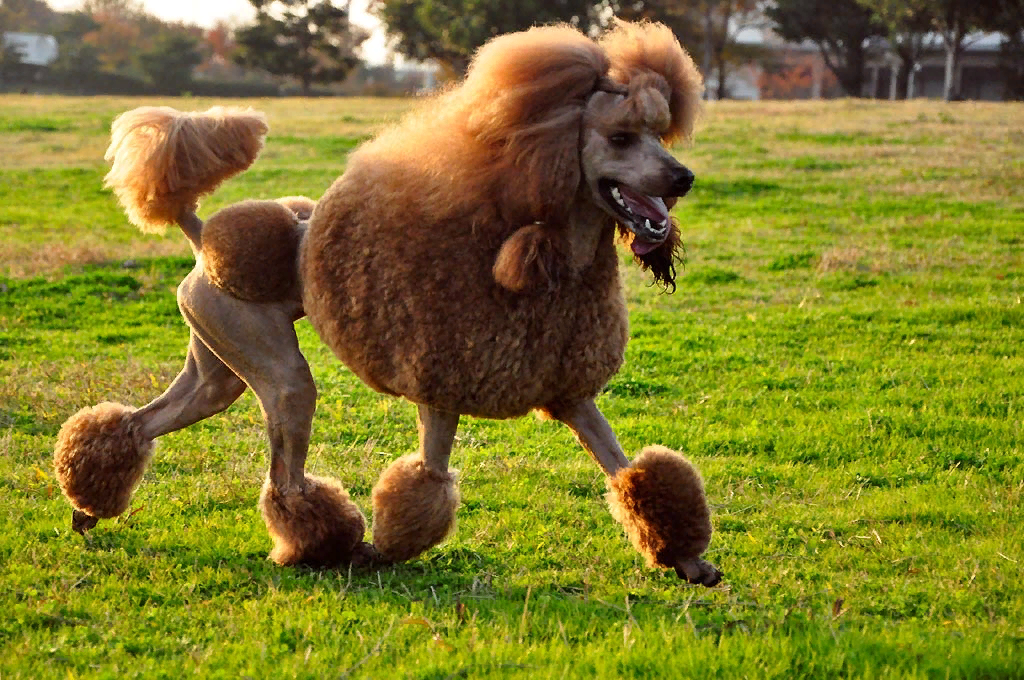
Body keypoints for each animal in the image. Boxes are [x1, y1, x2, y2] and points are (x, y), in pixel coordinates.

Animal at [54, 19, 720, 585]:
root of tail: (200, 235)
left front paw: (687, 560)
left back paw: (89, 505)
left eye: (659, 134)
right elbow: (425, 485)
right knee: (283, 474)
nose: (683, 177)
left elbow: (627, 470)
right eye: (620, 138)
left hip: (217, 369)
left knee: (144, 424)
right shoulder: (443, 392)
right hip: (278, 375)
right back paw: (323, 546)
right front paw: (381, 552)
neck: (547, 254)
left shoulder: (569, 393)